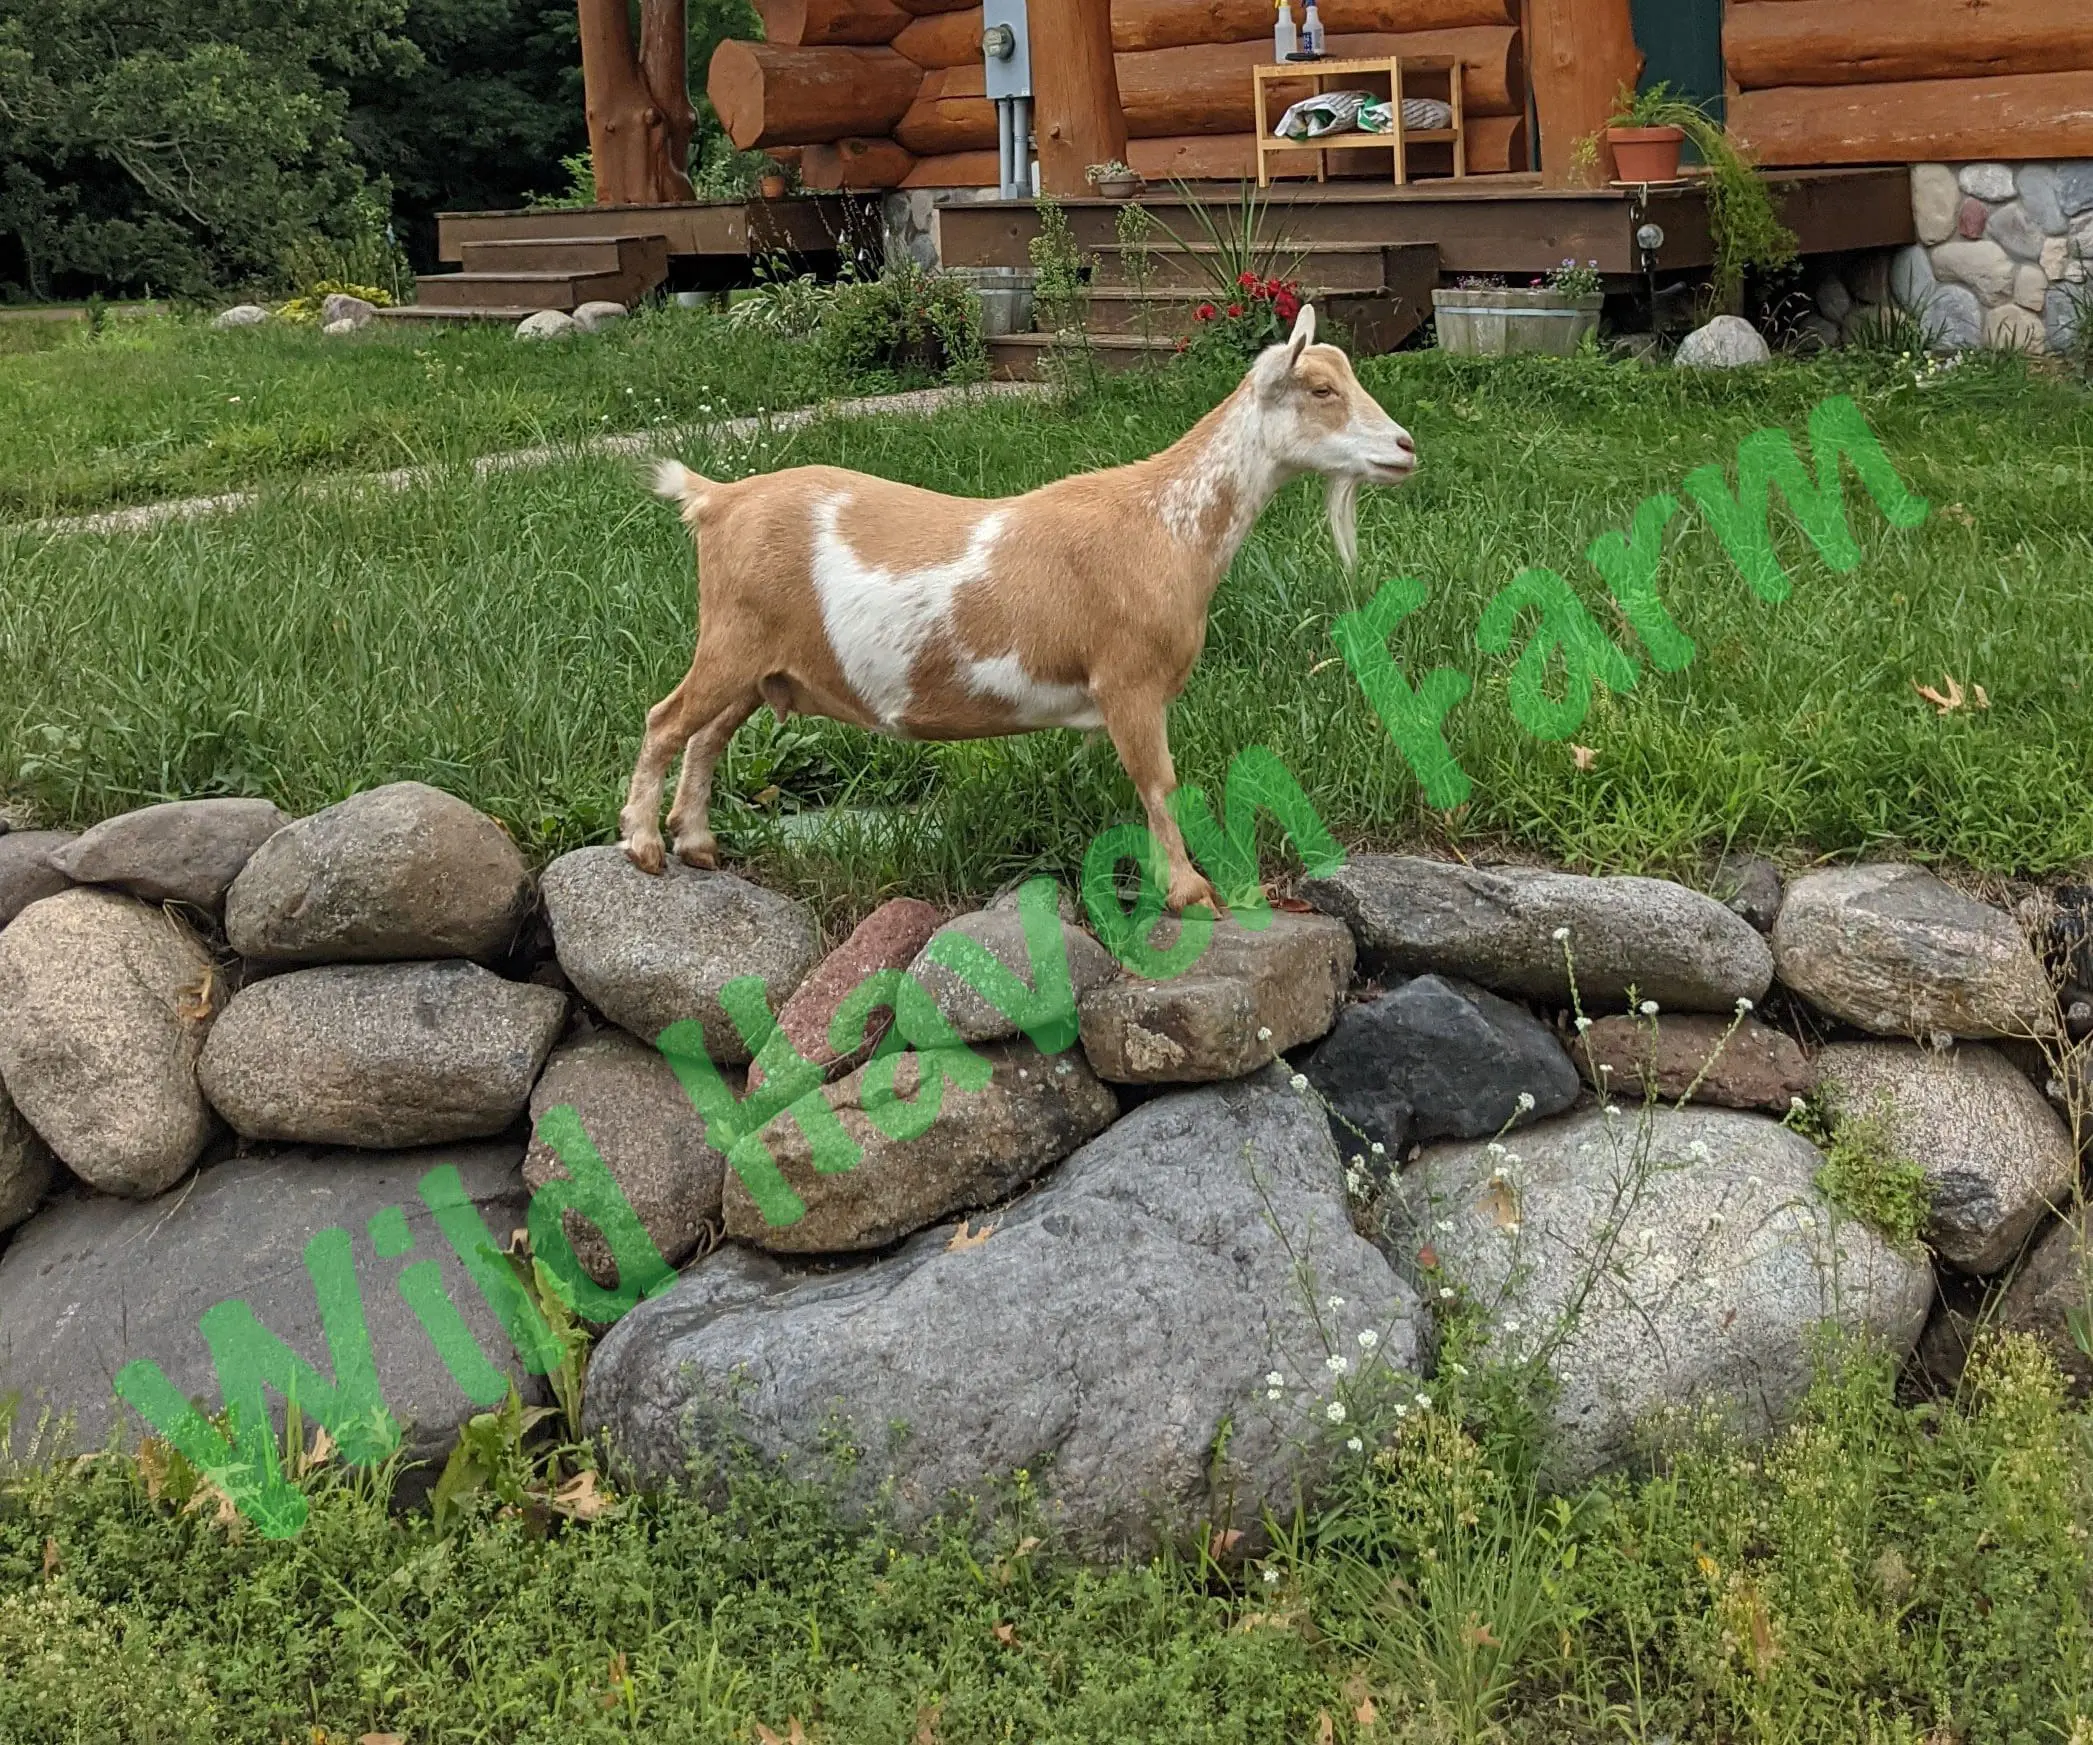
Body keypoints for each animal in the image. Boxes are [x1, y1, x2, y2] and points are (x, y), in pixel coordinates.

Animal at [611, 305, 1414, 912]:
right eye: (1320, 389)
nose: (1405, 448)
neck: (1163, 521)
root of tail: (717, 500)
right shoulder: (1128, 683)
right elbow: (1159, 785)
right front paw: (1190, 891)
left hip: (761, 664)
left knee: (706, 736)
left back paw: (696, 843)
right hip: (732, 640)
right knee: (665, 720)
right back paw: (645, 844)